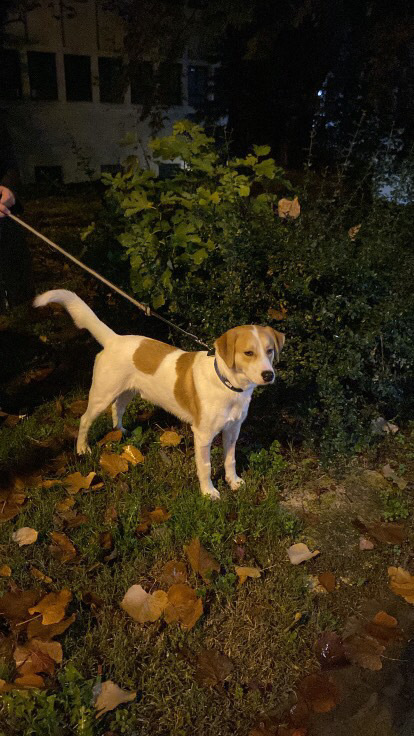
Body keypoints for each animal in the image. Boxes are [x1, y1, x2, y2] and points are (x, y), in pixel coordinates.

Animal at [34, 290, 285, 499]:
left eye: (270, 351)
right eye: (248, 353)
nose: (268, 375)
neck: (227, 385)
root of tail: (114, 339)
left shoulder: (233, 430)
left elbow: (230, 459)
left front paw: (233, 482)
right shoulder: (203, 435)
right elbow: (205, 467)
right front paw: (208, 492)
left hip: (127, 391)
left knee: (118, 408)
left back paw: (120, 431)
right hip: (101, 395)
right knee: (85, 419)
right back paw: (82, 448)